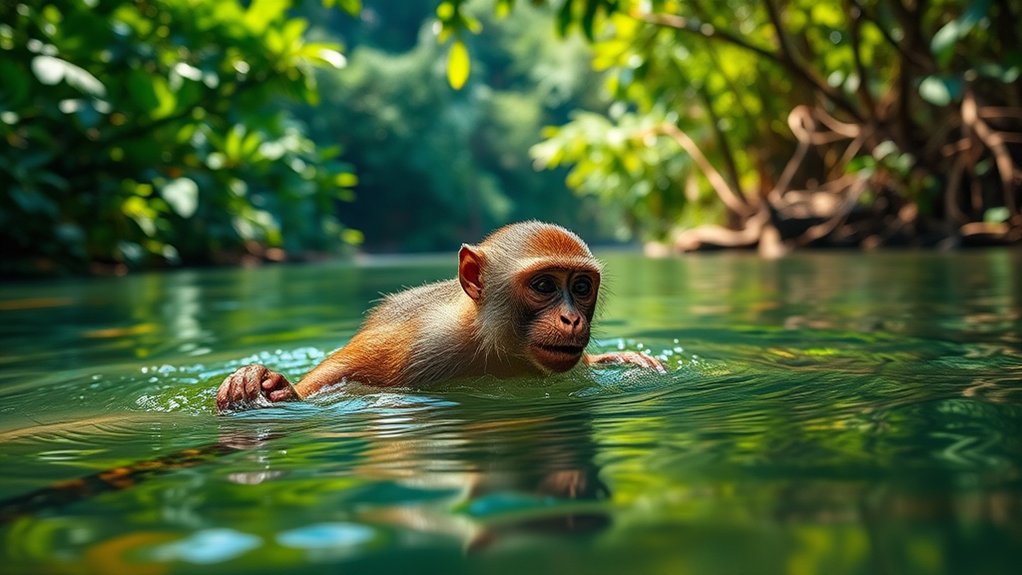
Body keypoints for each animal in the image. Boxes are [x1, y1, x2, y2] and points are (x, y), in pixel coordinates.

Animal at [216, 221, 664, 413]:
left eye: (582, 287)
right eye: (544, 286)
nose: (572, 318)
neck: (492, 342)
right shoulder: (427, 342)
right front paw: (275, 386)